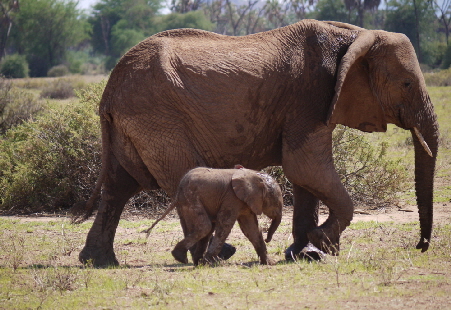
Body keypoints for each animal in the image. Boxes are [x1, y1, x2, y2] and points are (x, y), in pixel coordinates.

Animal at [147, 166, 284, 266]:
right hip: (191, 198)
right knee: (205, 227)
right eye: (277, 203)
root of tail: (178, 191)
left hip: (185, 203)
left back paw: (196, 262)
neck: (253, 175)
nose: (268, 239)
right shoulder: (231, 198)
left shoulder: (244, 202)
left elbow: (251, 229)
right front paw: (210, 263)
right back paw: (186, 258)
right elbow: (225, 225)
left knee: (203, 229)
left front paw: (269, 263)